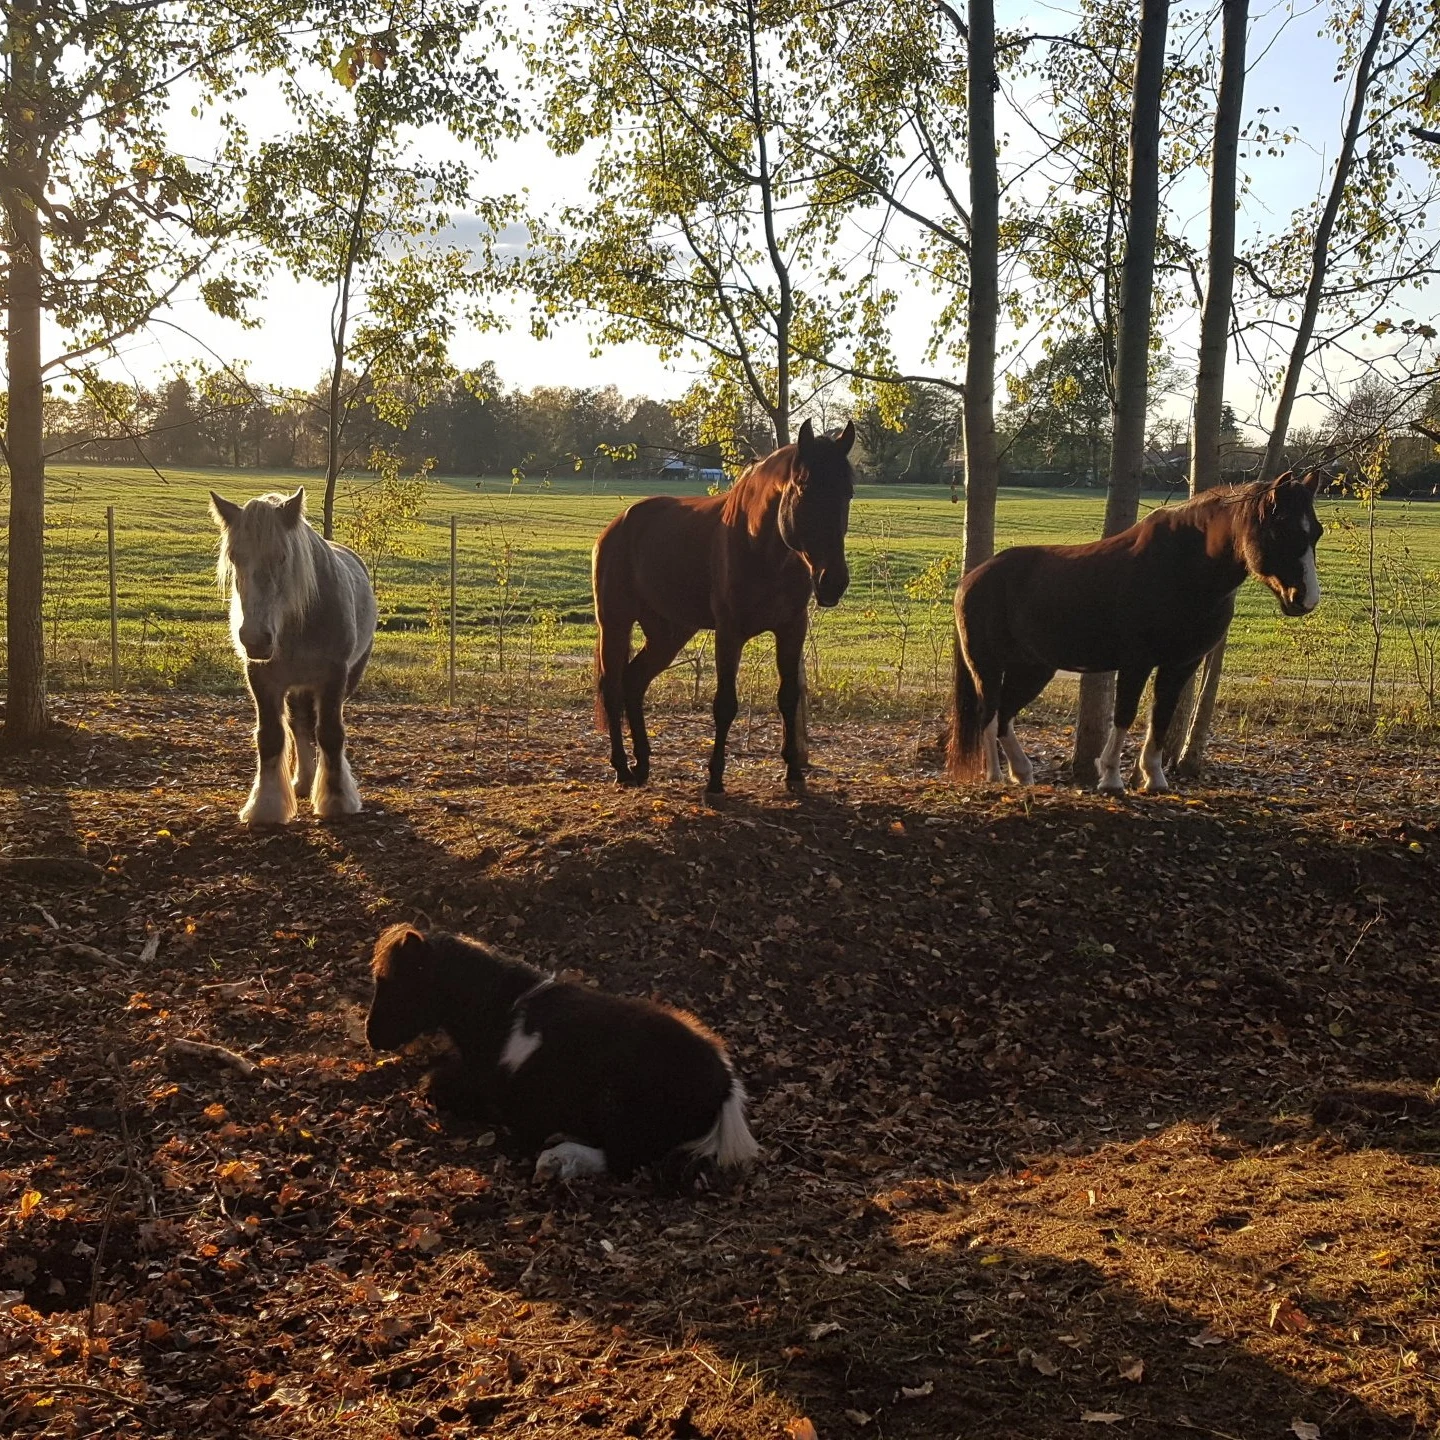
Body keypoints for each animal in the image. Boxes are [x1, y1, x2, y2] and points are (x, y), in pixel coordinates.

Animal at [209, 488, 377, 826]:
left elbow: (330, 734)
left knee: (312, 726)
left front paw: (337, 800)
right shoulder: (263, 678)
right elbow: (271, 736)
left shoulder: (333, 677)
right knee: (300, 726)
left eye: (283, 557)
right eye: (234, 557)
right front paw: (266, 805)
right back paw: (303, 780)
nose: (255, 639)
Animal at [592, 418, 856, 795]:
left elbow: (789, 697)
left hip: (668, 633)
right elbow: (725, 704)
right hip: (615, 623)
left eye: (848, 492)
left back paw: (642, 764)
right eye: (804, 488)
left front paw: (794, 773)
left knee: (634, 681)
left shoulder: (792, 628)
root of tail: (616, 527)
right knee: (613, 687)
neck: (761, 547)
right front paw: (715, 778)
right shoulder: (729, 633)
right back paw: (621, 768)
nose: (832, 581)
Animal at [947, 471, 1323, 794]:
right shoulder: (1136, 663)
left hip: (1033, 668)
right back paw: (995, 776)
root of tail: (971, 579)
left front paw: (1154, 779)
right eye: (1280, 530)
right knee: (988, 715)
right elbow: (1125, 715)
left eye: (1316, 532)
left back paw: (1022, 774)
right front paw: (1111, 778)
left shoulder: (1180, 665)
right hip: (987, 666)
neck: (1184, 569)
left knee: (1005, 716)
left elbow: (1161, 717)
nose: (1305, 599)